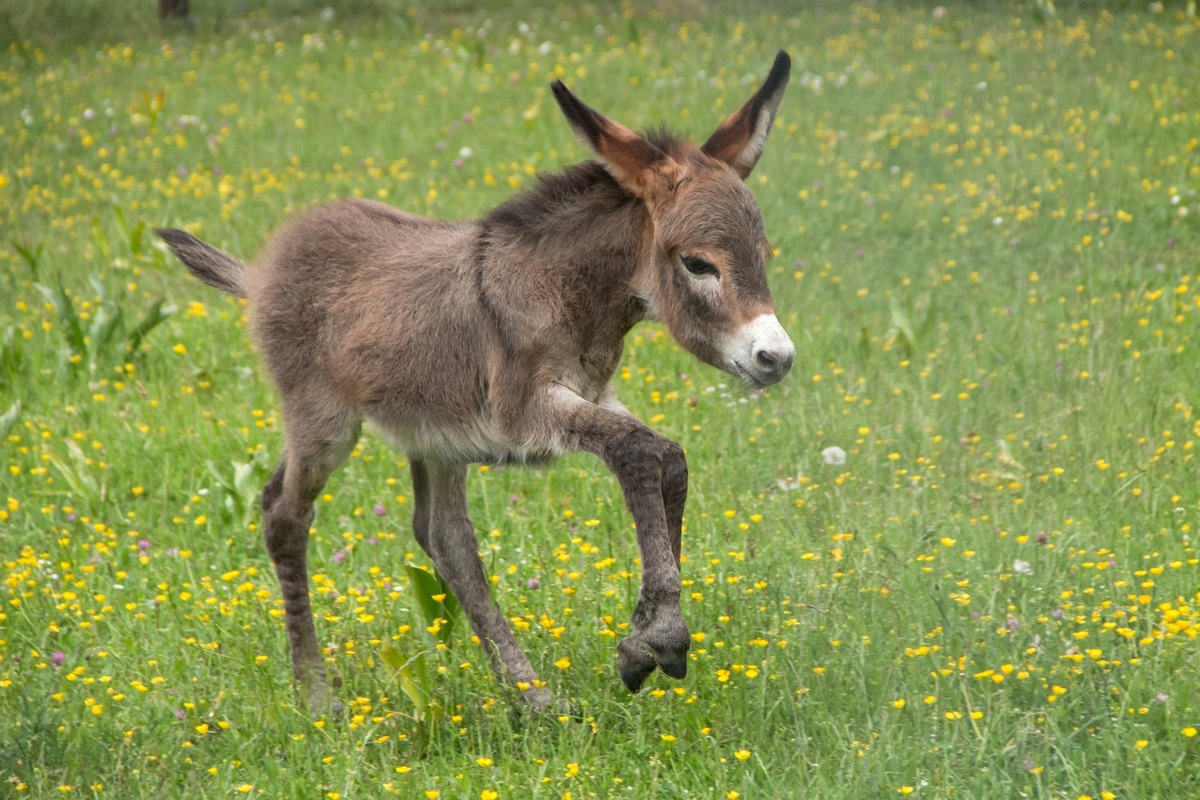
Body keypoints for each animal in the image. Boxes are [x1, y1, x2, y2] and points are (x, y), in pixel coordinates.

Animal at [159, 51, 796, 714]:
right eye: (698, 264)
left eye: (763, 255)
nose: (777, 358)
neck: (567, 295)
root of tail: (261, 271)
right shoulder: (524, 412)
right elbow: (644, 452)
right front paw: (660, 639)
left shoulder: (593, 396)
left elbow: (669, 458)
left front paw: (641, 640)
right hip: (323, 421)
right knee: (285, 515)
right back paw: (315, 694)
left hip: (433, 433)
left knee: (444, 540)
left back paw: (534, 699)